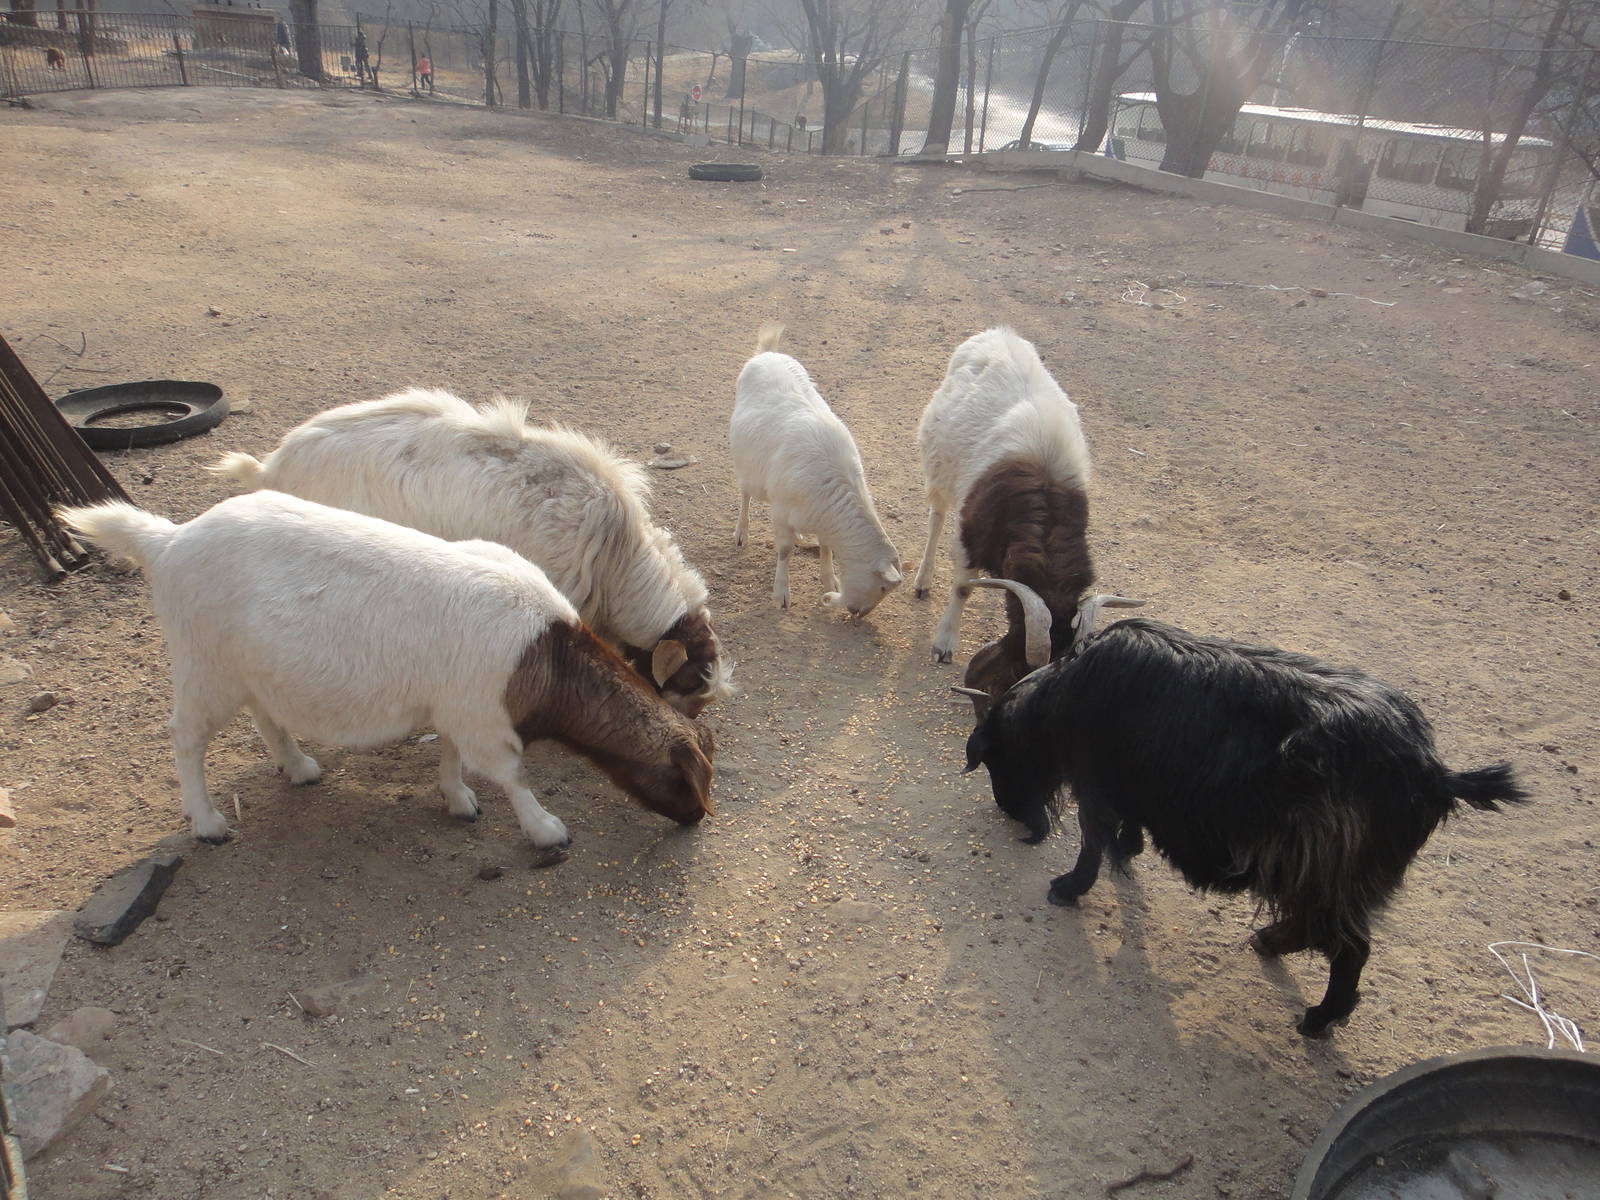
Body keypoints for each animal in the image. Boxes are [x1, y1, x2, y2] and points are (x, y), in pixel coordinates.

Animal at [59, 492, 715, 852]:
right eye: (687, 779)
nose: (698, 820)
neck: (547, 650)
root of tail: (167, 542)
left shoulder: (456, 706)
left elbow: (452, 754)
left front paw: (457, 799)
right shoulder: (485, 716)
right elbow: (510, 774)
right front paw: (547, 830)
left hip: (253, 666)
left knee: (266, 716)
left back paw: (298, 767)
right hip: (204, 664)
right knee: (186, 738)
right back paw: (208, 821)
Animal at [730, 326, 902, 617]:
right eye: (881, 587)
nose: (858, 613)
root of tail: (768, 353)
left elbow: (826, 549)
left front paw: (829, 581)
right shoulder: (781, 511)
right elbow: (785, 551)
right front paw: (782, 594)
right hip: (748, 466)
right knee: (745, 494)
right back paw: (741, 533)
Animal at [913, 329, 1121, 700]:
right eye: (1020, 661)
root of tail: (997, 333)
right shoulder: (970, 534)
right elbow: (962, 587)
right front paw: (944, 643)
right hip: (938, 465)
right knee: (936, 516)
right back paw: (923, 580)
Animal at [959, 617, 1527, 1036]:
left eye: (995, 759)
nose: (1013, 817)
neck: (1067, 694)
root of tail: (1434, 773)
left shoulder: (1096, 781)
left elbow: (1092, 839)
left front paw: (1070, 886)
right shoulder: (1133, 785)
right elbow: (1127, 826)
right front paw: (1129, 851)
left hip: (1325, 872)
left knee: (1350, 949)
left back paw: (1317, 1018)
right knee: (1325, 933)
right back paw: (1272, 944)